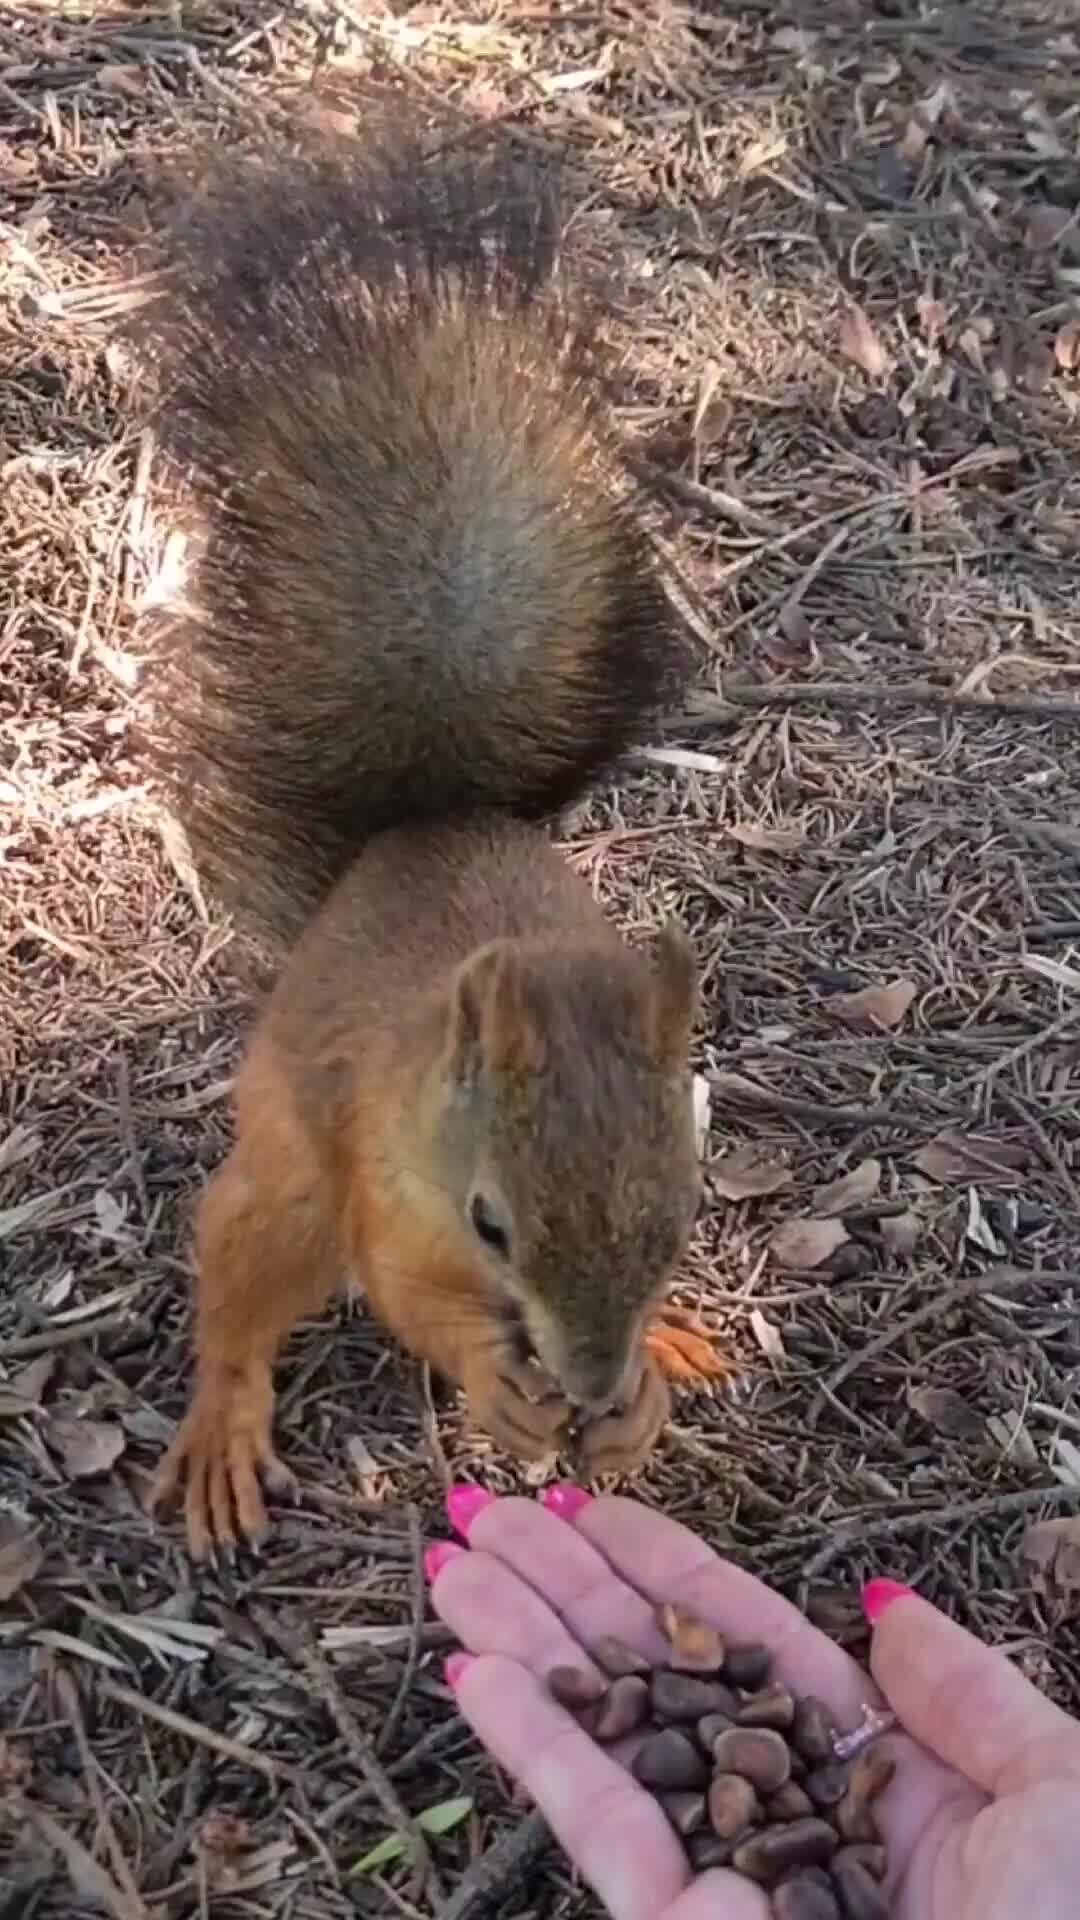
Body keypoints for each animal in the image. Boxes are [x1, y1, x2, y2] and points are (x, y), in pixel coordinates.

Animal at [130, 131, 726, 1559]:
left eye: (679, 1210)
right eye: (490, 1220)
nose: (586, 1382)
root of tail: (417, 829)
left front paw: (636, 1398)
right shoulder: (386, 1174)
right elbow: (408, 1295)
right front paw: (500, 1388)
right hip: (291, 1173)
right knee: (245, 1281)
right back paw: (225, 1427)